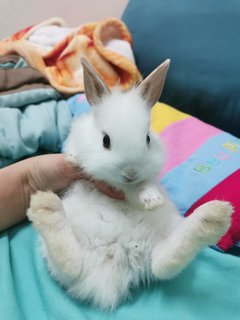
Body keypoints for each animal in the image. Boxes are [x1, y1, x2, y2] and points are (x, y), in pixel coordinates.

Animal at [27, 57, 233, 310]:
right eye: (105, 140)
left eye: (147, 139)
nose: (130, 172)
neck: (120, 185)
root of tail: (115, 259)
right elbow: (73, 152)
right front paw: (74, 159)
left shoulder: (141, 182)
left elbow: (143, 187)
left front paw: (152, 199)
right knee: (71, 263)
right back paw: (45, 207)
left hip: (164, 233)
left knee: (163, 262)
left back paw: (213, 217)